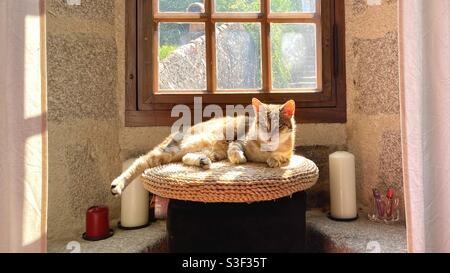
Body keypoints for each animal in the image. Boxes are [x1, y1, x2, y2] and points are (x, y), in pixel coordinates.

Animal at [111, 99, 298, 194]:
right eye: (263, 125)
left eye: (279, 126)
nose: (270, 136)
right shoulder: (239, 139)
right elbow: (235, 149)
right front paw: (239, 158)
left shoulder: (288, 154)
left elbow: (281, 157)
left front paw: (273, 160)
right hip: (171, 150)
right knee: (141, 161)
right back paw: (117, 184)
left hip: (210, 152)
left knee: (186, 157)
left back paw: (202, 161)